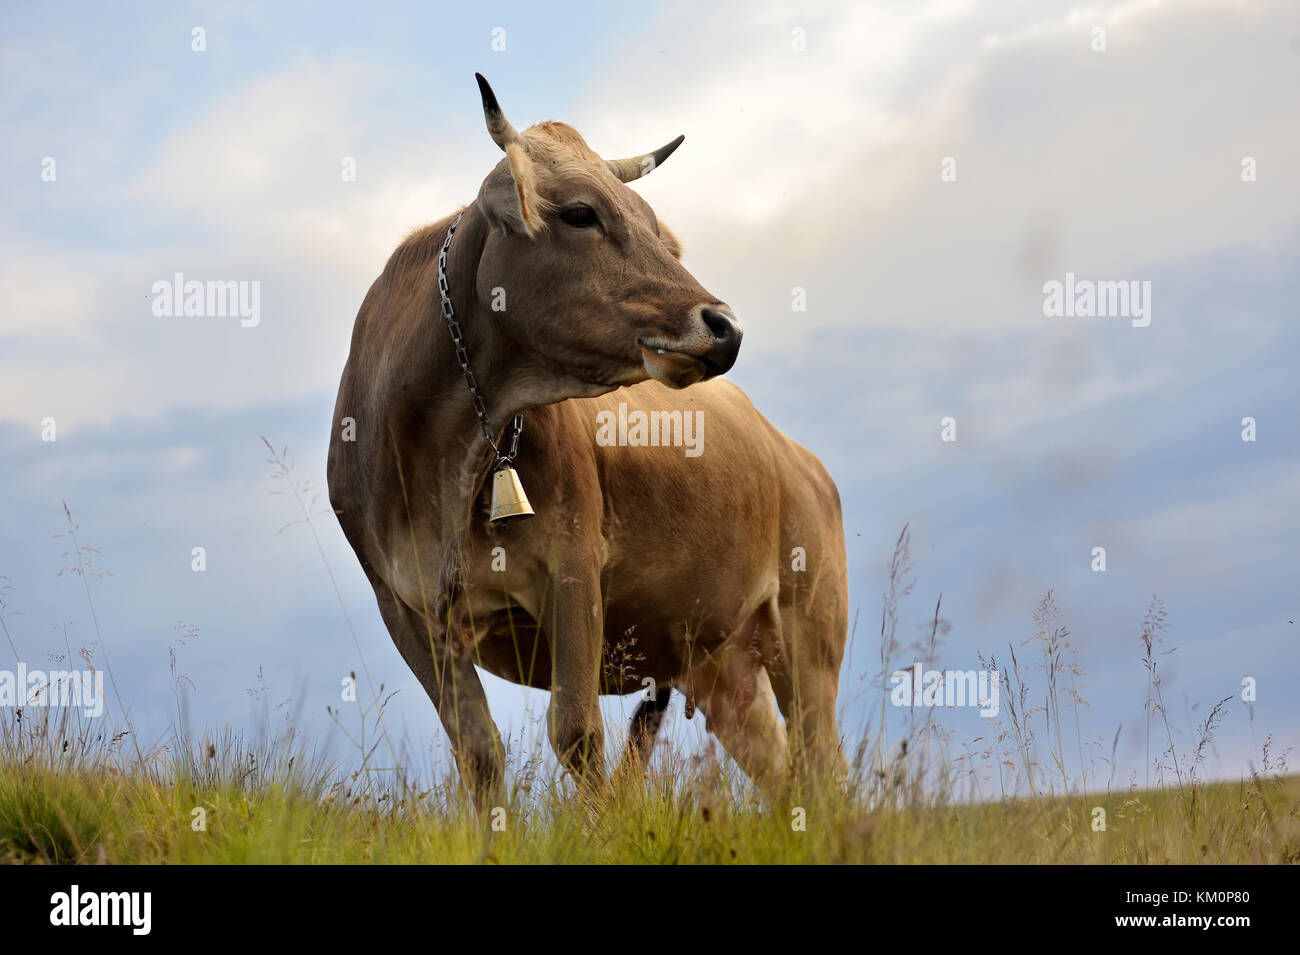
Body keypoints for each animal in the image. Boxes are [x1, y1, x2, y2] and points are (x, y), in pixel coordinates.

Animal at [327, 74, 848, 804]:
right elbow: (478, 751)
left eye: (657, 229)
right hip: (722, 664)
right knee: (781, 770)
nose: (724, 327)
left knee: (824, 766)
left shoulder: (571, 565)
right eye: (580, 213)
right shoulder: (404, 608)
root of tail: (798, 458)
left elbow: (575, 733)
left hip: (808, 634)